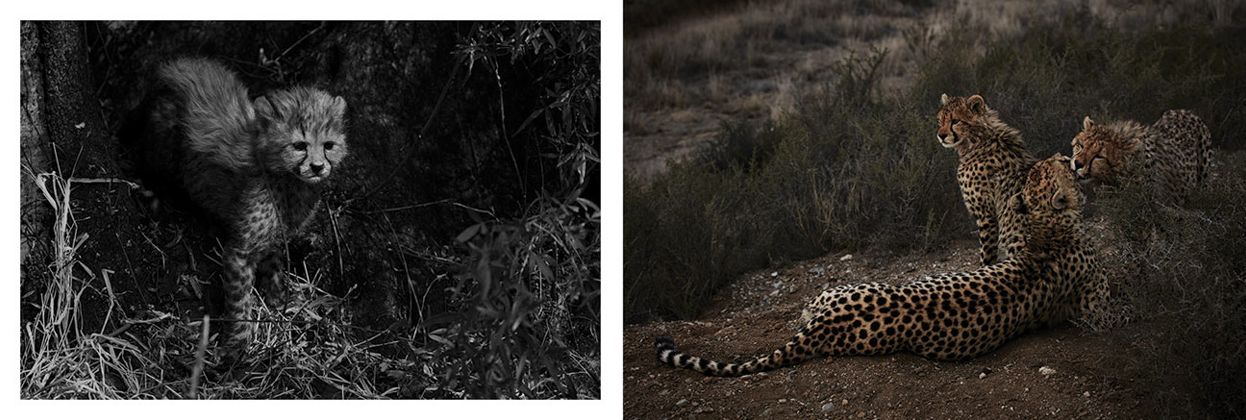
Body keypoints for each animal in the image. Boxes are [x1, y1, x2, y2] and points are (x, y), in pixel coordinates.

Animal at [123, 57, 347, 356]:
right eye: (300, 145)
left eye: (329, 145)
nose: (318, 167)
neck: (285, 178)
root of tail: (178, 65)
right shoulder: (239, 252)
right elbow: (240, 300)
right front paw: (238, 343)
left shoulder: (273, 236)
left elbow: (274, 264)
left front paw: (277, 298)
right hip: (163, 142)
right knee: (146, 159)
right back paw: (155, 194)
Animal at [654, 154, 1130, 377]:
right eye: (1051, 168)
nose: (1067, 158)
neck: (1047, 228)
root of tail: (829, 318)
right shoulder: (1096, 312)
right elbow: (1118, 312)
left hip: (830, 293)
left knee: (801, 312)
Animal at [936, 94, 1037, 266]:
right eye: (940, 120)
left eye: (955, 121)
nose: (941, 135)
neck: (978, 139)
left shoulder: (986, 215)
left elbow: (987, 255)